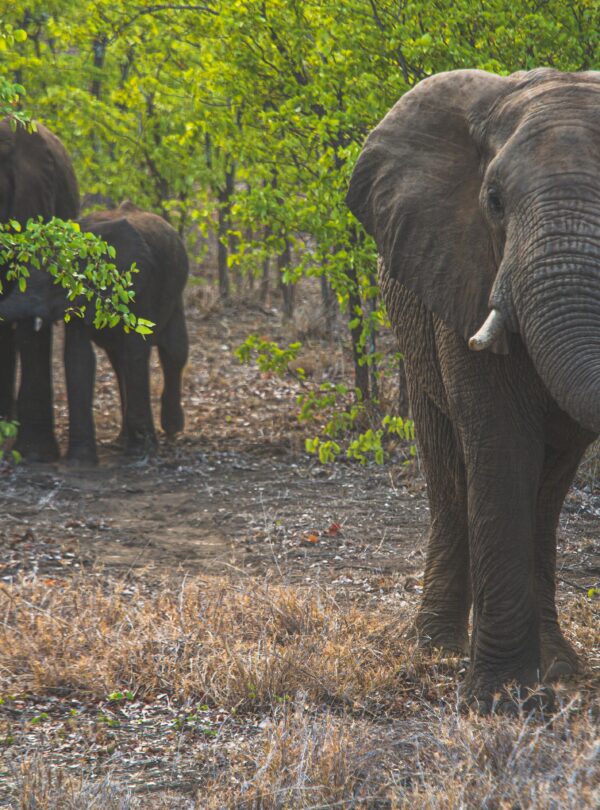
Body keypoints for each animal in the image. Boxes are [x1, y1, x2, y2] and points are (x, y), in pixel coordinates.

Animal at [0, 201, 189, 464]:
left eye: (54, 281)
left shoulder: (139, 288)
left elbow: (135, 352)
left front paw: (140, 453)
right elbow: (78, 357)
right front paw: (80, 461)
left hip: (175, 289)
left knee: (173, 351)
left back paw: (171, 430)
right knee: (119, 362)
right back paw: (122, 440)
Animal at [347, 68, 600, 712]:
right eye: (494, 202)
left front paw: (536, 681)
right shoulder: (461, 272)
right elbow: (501, 446)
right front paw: (500, 698)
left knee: (547, 493)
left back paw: (555, 664)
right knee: (449, 470)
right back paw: (436, 647)